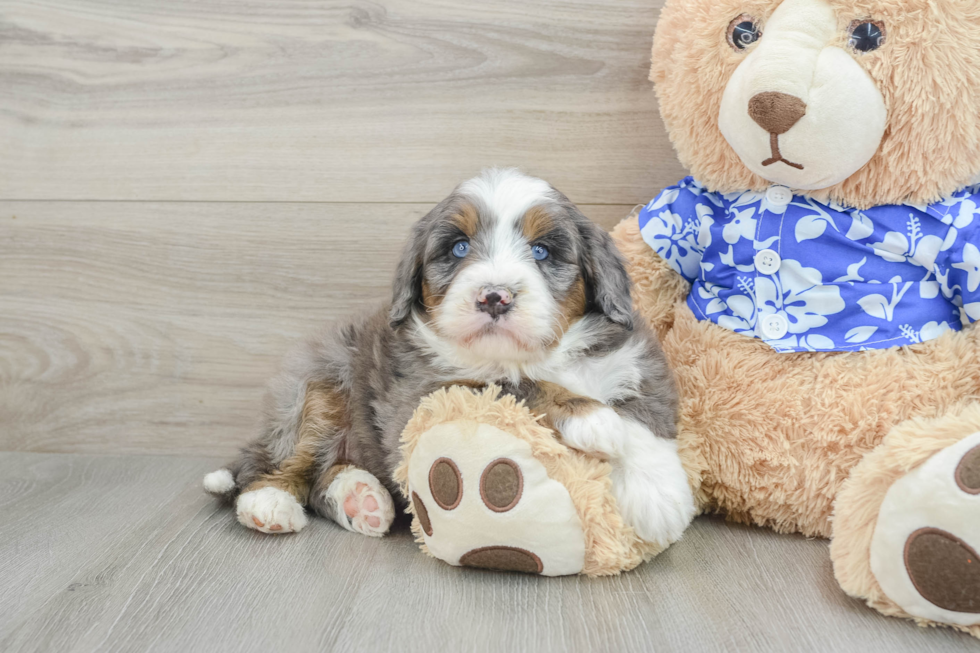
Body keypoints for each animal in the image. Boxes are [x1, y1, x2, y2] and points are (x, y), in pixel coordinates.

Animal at [207, 171, 696, 548]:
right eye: (459, 248)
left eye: (542, 251)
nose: (495, 296)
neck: (534, 357)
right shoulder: (421, 394)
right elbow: (514, 386)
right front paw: (591, 417)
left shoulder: (636, 361)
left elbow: (646, 422)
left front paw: (660, 495)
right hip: (317, 385)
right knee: (283, 460)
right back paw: (268, 503)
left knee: (325, 476)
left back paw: (360, 499)